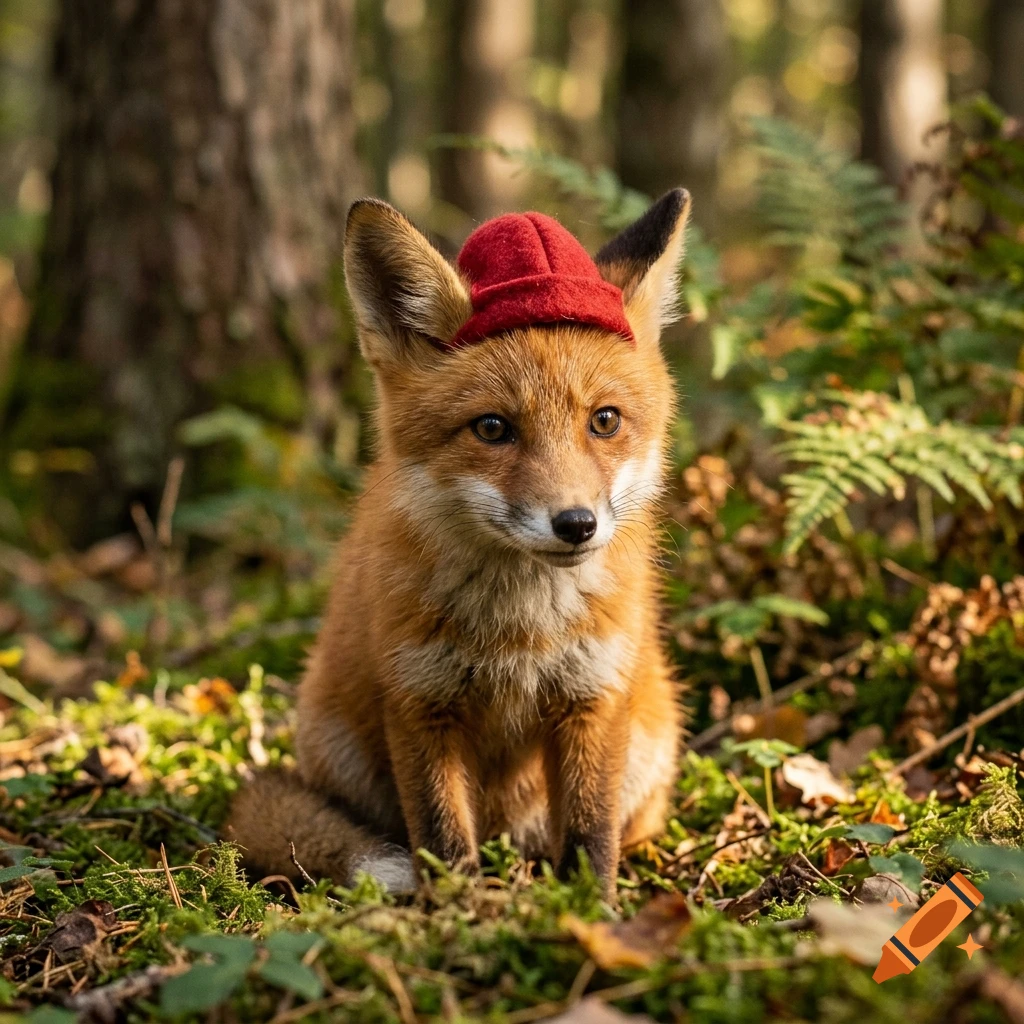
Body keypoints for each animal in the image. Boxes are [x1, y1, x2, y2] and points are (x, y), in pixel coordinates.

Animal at [226, 187, 692, 897]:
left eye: (605, 421)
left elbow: (591, 834)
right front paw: (458, 913)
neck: (522, 631)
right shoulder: (420, 702)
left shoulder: (591, 696)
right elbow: (443, 839)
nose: (576, 524)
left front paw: (593, 912)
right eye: (493, 428)